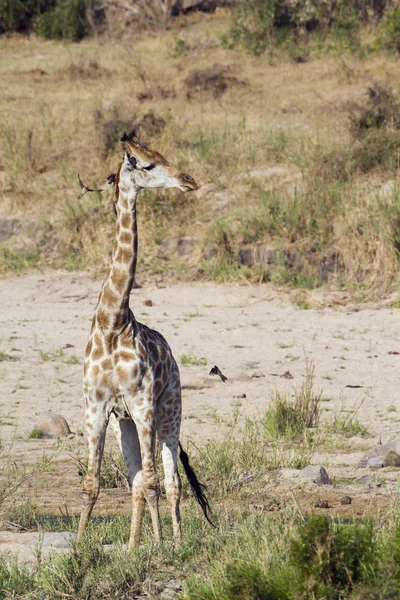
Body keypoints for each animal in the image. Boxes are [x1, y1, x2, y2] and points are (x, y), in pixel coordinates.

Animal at [76, 131, 211, 548]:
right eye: (148, 164)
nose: (189, 181)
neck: (112, 322)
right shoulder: (97, 406)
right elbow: (92, 484)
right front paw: (79, 547)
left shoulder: (143, 404)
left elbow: (153, 482)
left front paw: (158, 545)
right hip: (127, 422)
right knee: (138, 479)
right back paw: (141, 544)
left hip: (169, 412)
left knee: (170, 482)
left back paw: (175, 543)